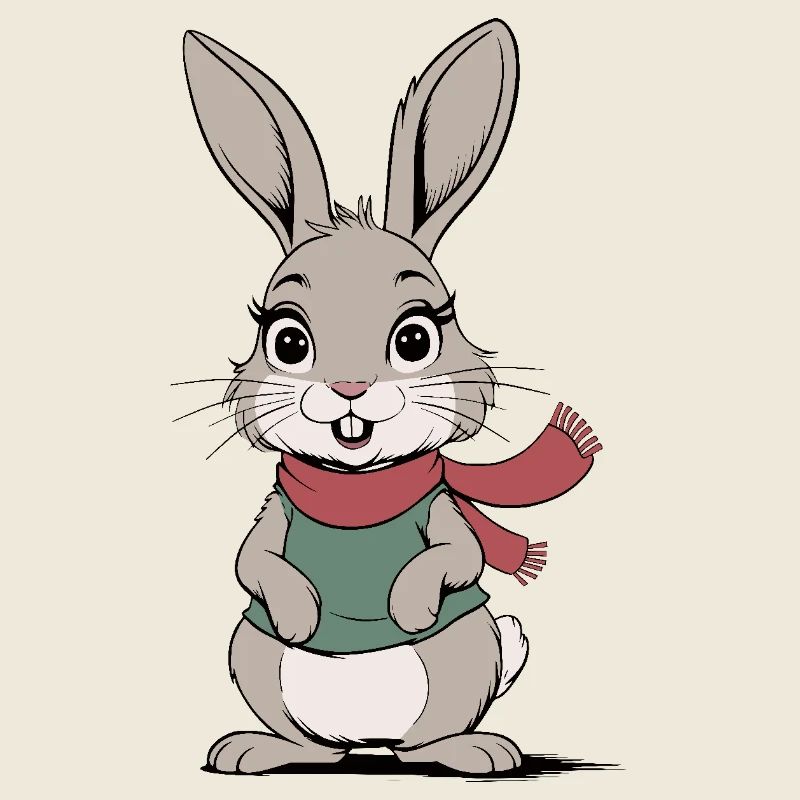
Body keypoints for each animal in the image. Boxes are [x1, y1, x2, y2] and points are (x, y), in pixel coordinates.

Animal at [182, 18, 602, 775]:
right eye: (288, 341)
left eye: (414, 339)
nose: (349, 386)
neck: (357, 487)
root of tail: (367, 741)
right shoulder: (273, 514)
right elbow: (251, 562)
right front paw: (300, 614)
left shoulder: (442, 515)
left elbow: (457, 557)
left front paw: (407, 607)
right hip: (252, 658)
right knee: (309, 745)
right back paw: (256, 749)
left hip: (463, 660)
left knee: (428, 738)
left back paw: (477, 750)